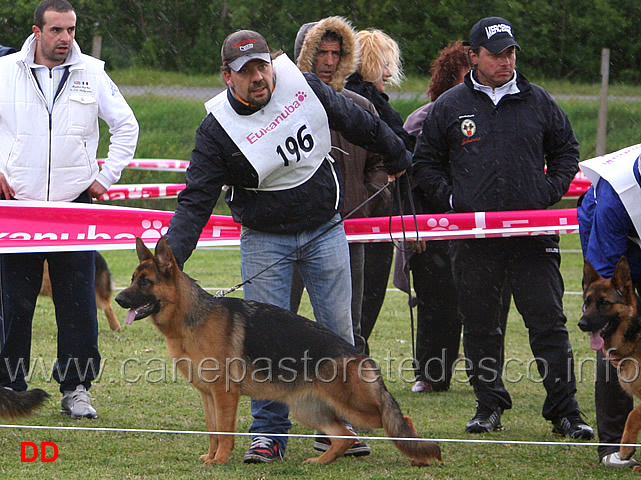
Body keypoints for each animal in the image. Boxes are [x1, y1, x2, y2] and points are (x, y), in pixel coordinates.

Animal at [115, 238, 440, 466]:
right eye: (132, 279)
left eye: (145, 281)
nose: (118, 299)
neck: (191, 316)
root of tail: (358, 355)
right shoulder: (207, 395)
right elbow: (212, 431)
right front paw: (211, 457)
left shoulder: (224, 394)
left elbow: (224, 431)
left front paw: (219, 461)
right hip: (307, 408)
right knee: (344, 436)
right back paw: (320, 461)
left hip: (355, 406)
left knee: (396, 420)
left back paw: (417, 455)